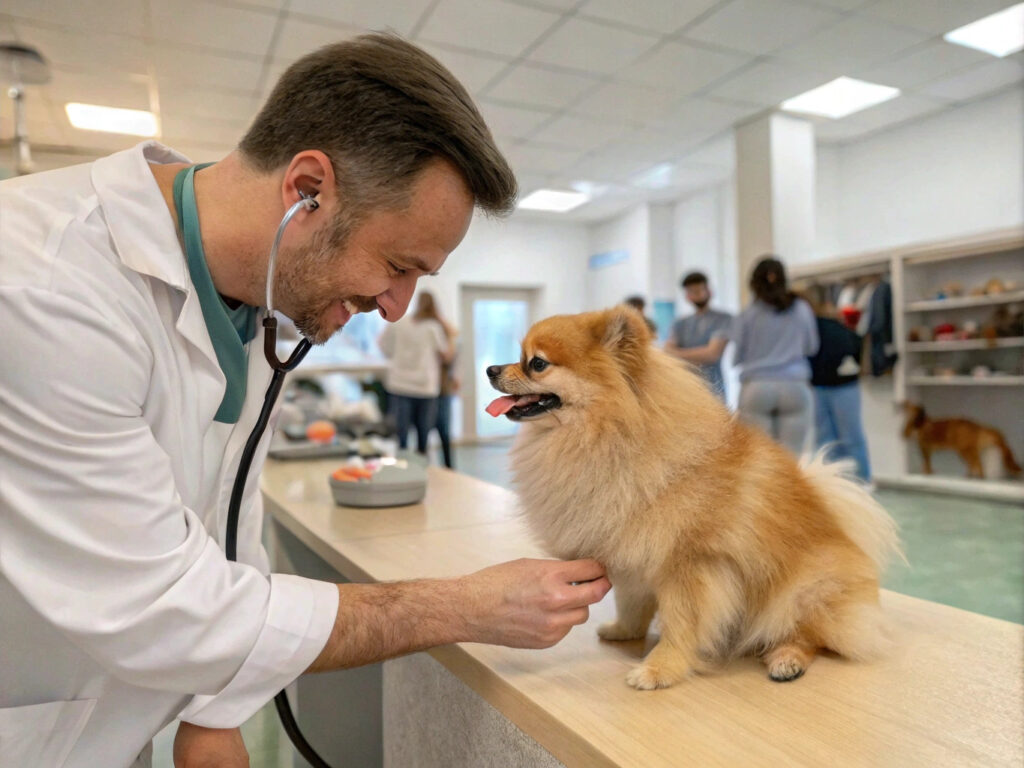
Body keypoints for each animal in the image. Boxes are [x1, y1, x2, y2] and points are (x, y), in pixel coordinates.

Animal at [487, 307, 905, 692]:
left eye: (537, 363)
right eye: (519, 356)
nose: (491, 368)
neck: (610, 434)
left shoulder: (691, 565)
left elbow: (681, 622)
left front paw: (658, 670)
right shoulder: (632, 554)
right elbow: (631, 602)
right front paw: (624, 631)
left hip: (802, 593)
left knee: (811, 636)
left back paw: (786, 658)